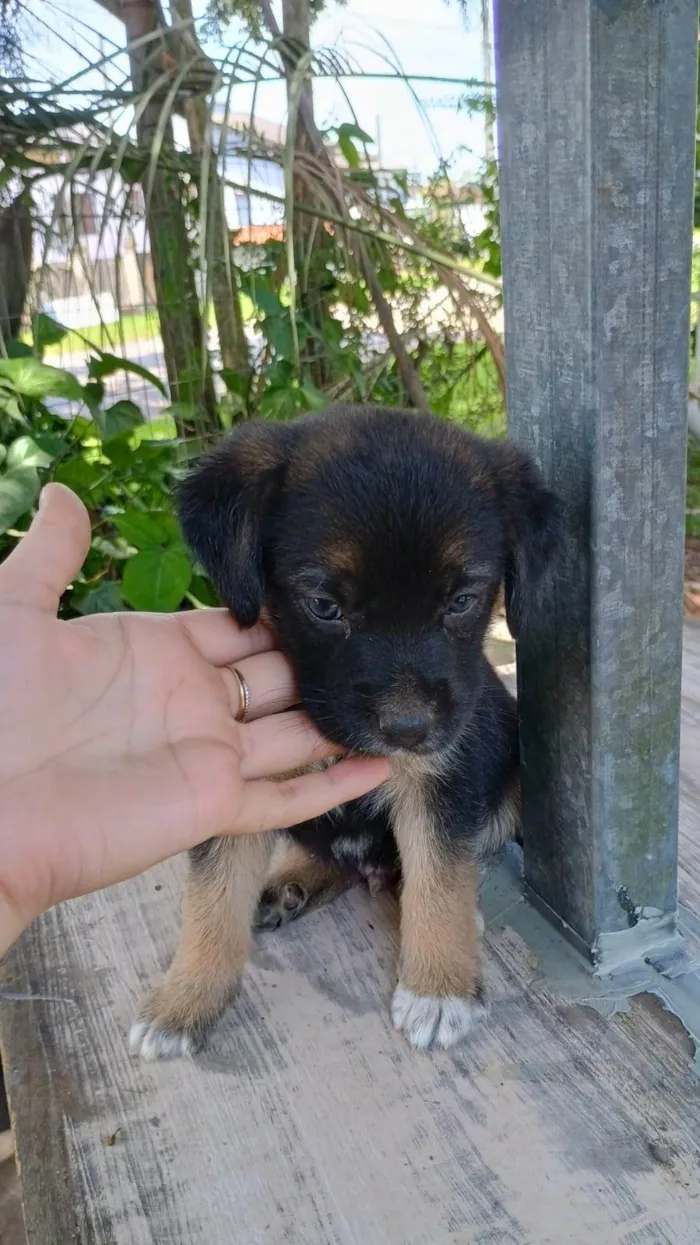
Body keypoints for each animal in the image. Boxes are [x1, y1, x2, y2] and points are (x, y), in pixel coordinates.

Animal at [129, 405, 555, 1060]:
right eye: (325, 606)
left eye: (462, 600)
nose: (408, 730)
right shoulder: (241, 793)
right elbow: (211, 900)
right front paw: (185, 1001)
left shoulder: (444, 779)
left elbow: (441, 877)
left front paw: (439, 987)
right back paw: (291, 882)